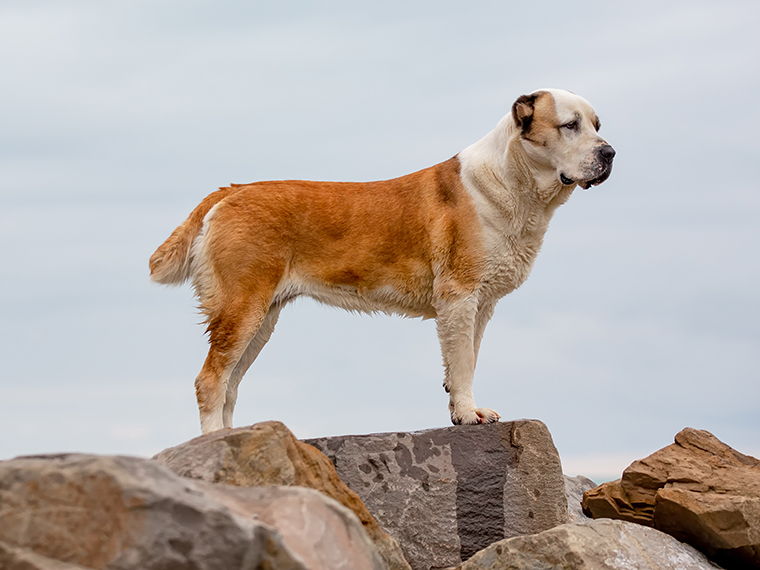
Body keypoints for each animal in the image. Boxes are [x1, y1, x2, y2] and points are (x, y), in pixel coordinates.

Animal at [151, 89, 616, 432]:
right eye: (569, 125)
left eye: (596, 125)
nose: (610, 152)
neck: (511, 181)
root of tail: (230, 191)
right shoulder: (460, 296)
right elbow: (464, 361)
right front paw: (468, 415)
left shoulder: (481, 305)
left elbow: (465, 358)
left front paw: (460, 408)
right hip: (242, 307)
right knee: (210, 381)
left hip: (262, 318)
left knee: (229, 384)